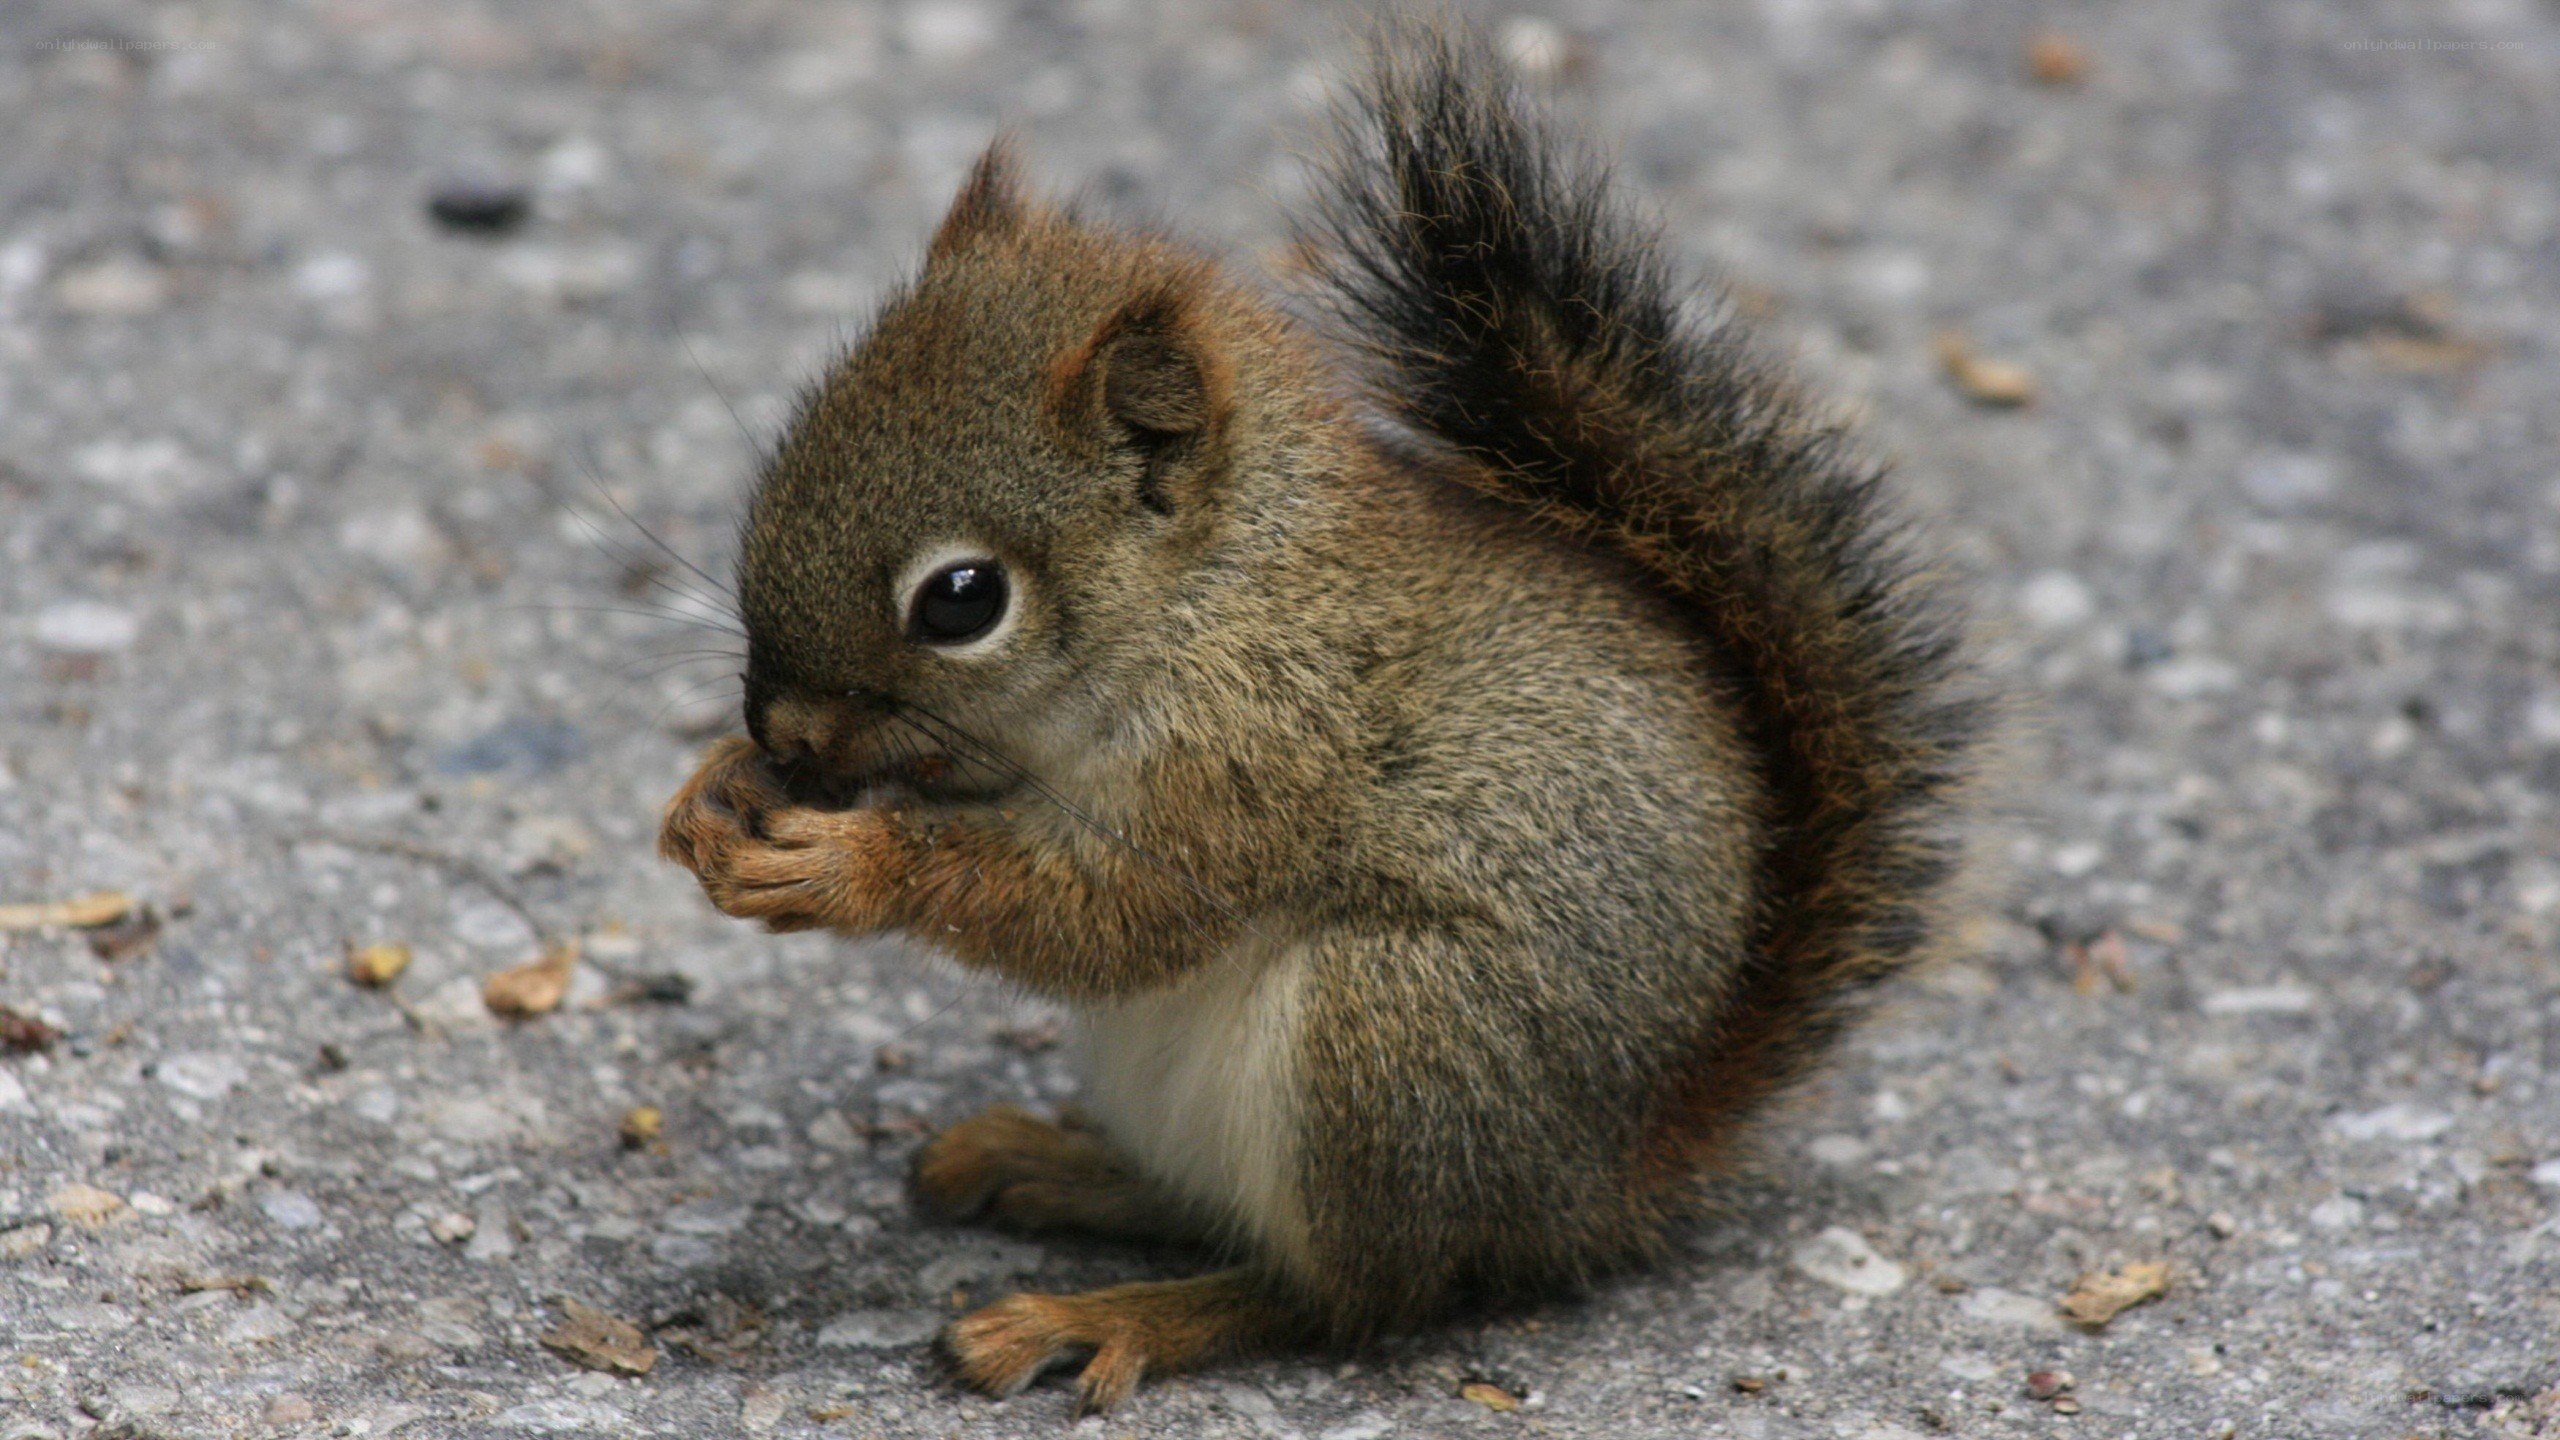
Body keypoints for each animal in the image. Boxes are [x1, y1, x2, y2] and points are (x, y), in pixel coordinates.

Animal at [657, 24, 1981, 1415]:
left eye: (962, 600)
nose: (785, 732)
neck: (1213, 593)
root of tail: (1597, 1186)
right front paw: (713, 794)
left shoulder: (1258, 749)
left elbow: (1117, 913)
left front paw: (846, 864)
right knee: (1215, 1211)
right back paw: (1054, 1166)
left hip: (1392, 1037)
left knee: (1341, 1297)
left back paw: (1110, 1315)